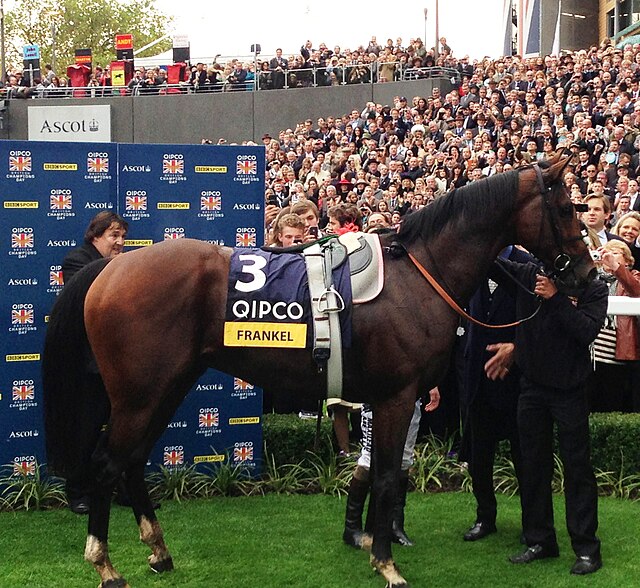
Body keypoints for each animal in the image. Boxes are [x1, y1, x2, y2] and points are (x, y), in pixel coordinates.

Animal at [43, 153, 596, 588]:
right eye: (568, 208)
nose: (587, 274)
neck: (420, 272)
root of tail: (112, 267)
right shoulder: (396, 396)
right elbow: (387, 478)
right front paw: (386, 564)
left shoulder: (385, 398)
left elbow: (380, 474)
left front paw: (374, 546)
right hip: (141, 394)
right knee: (107, 464)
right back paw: (106, 566)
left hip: (165, 388)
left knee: (132, 462)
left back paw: (158, 551)